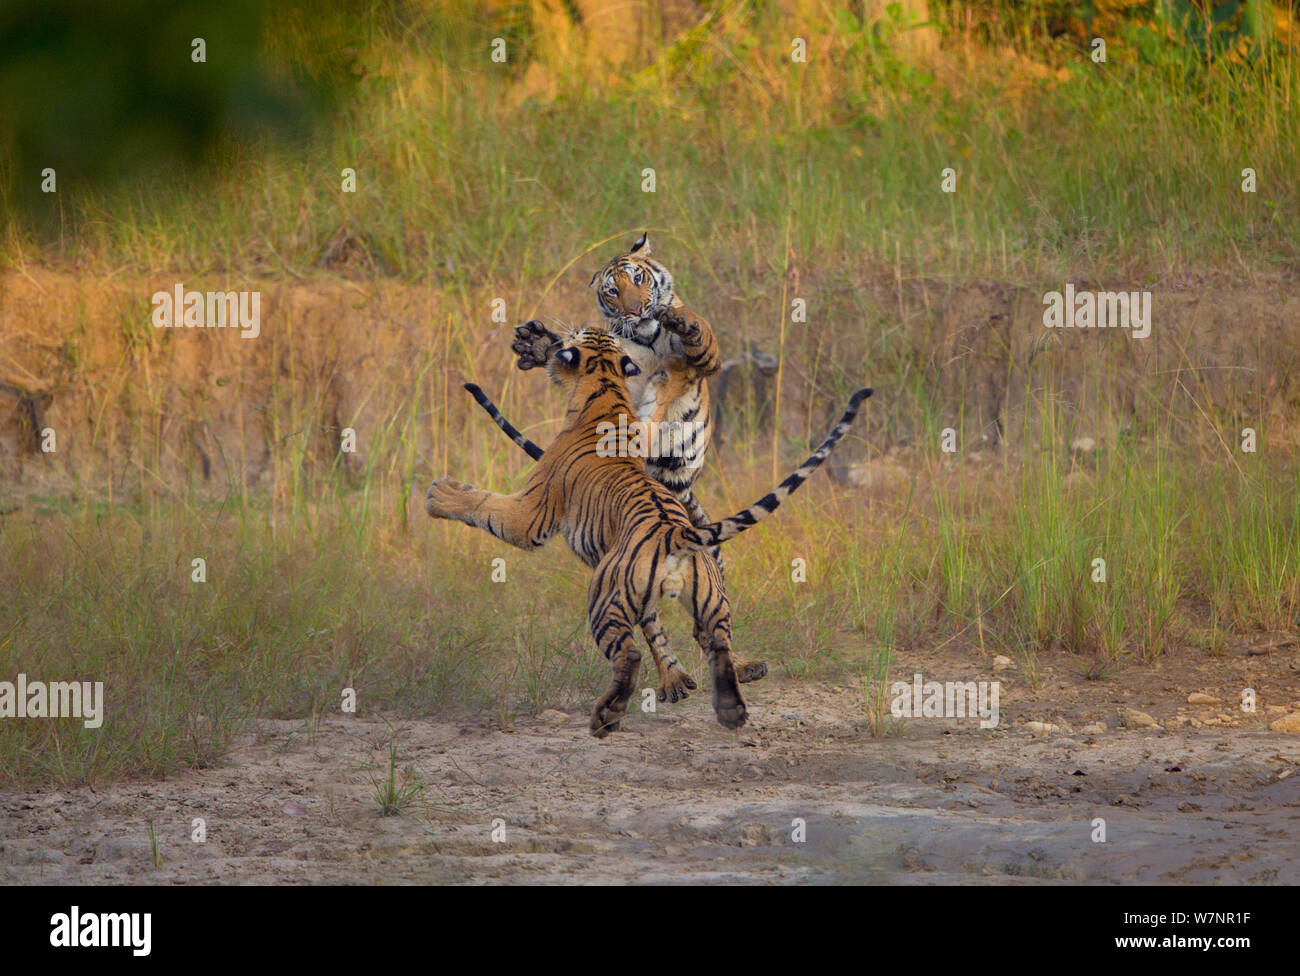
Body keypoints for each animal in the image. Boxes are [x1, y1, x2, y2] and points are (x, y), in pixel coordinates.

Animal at [426, 324, 873, 738]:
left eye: (577, 334)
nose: (564, 333)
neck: (605, 386)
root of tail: (676, 535)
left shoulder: (532, 515)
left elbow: (488, 506)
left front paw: (440, 495)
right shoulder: (650, 427)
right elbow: (659, 402)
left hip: (604, 598)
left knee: (631, 655)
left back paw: (607, 716)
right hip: (712, 599)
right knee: (713, 642)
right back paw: (728, 708)